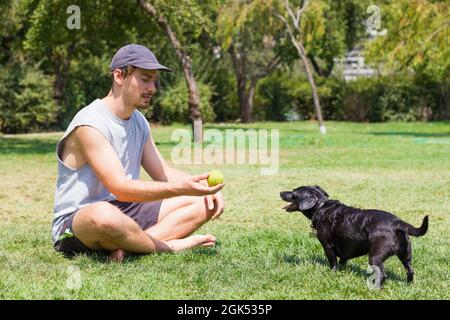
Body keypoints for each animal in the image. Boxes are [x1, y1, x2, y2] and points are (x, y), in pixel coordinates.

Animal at [278, 186, 428, 284]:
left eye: (293, 192)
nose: (280, 192)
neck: (321, 206)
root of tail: (399, 223)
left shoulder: (328, 246)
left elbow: (333, 263)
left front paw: (332, 274)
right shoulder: (345, 249)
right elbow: (343, 261)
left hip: (375, 256)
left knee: (383, 274)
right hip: (406, 254)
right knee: (410, 270)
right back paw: (408, 285)